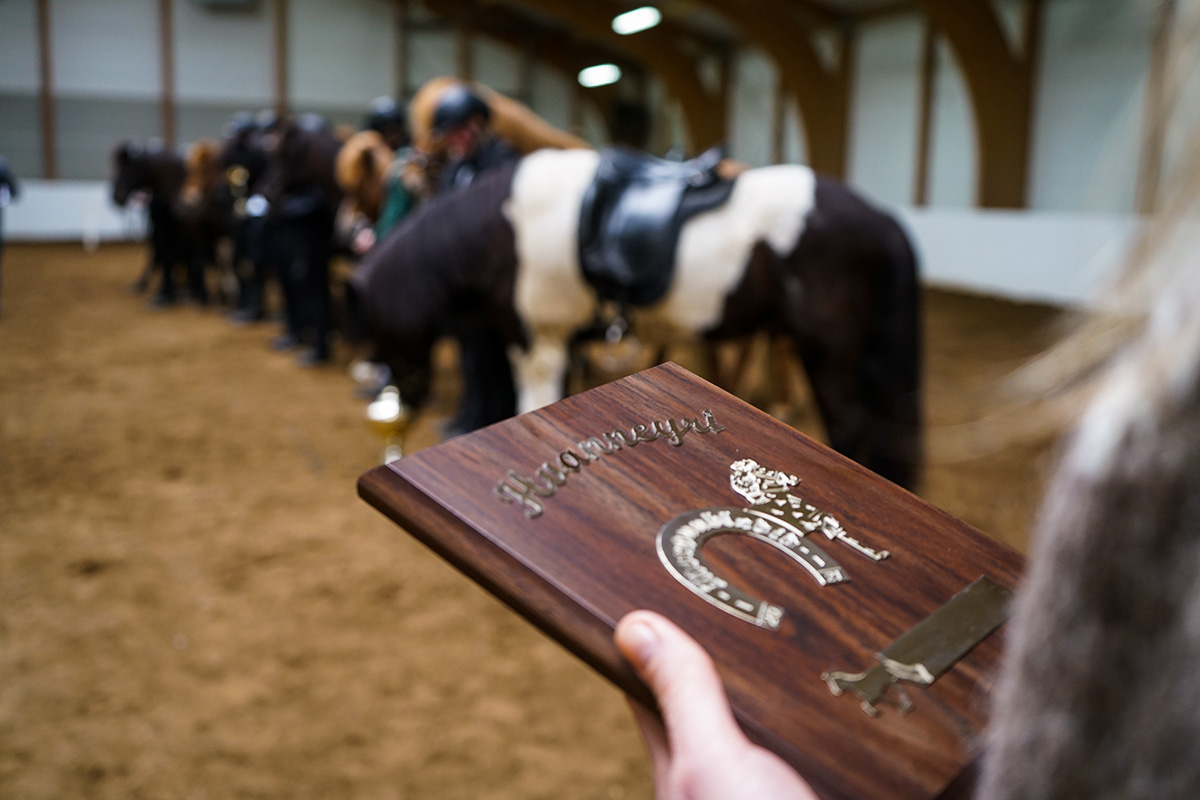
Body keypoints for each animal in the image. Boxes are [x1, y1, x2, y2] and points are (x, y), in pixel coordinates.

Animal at [350, 148, 921, 489]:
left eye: (373, 330)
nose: (389, 398)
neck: (506, 228)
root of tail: (883, 221)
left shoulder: (540, 345)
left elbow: (532, 413)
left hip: (829, 351)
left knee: (850, 427)